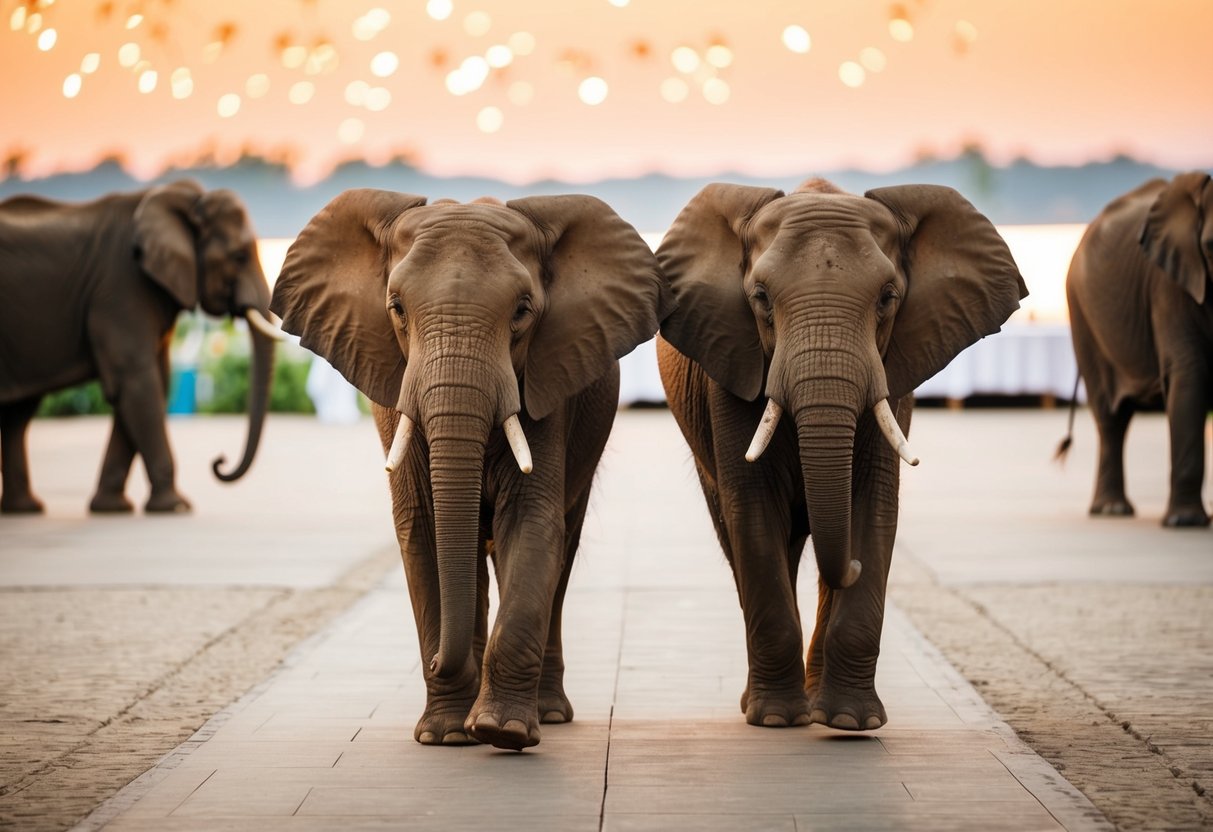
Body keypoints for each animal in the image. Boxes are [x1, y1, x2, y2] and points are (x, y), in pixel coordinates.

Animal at [0, 179, 278, 515]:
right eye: (238, 256)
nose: (219, 461)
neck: (182, 199)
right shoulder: (121, 286)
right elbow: (137, 381)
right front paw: (176, 507)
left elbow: (151, 382)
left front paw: (111, 508)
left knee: (17, 414)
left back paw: (25, 508)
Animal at [271, 189, 671, 750]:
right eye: (396, 308)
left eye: (522, 312)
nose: (438, 660)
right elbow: (423, 529)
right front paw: (446, 736)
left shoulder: (546, 386)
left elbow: (530, 523)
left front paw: (504, 732)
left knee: (560, 552)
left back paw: (546, 713)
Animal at [656, 179, 1025, 731]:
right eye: (760, 298)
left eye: (888, 298)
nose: (848, 565)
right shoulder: (732, 368)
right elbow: (754, 514)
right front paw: (776, 719)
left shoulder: (893, 376)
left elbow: (873, 507)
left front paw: (852, 722)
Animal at [1061, 171, 1212, 527]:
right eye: (1212, 247)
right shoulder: (1169, 288)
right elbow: (1190, 376)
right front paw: (1185, 522)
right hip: (1082, 315)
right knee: (1111, 416)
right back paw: (1112, 511)